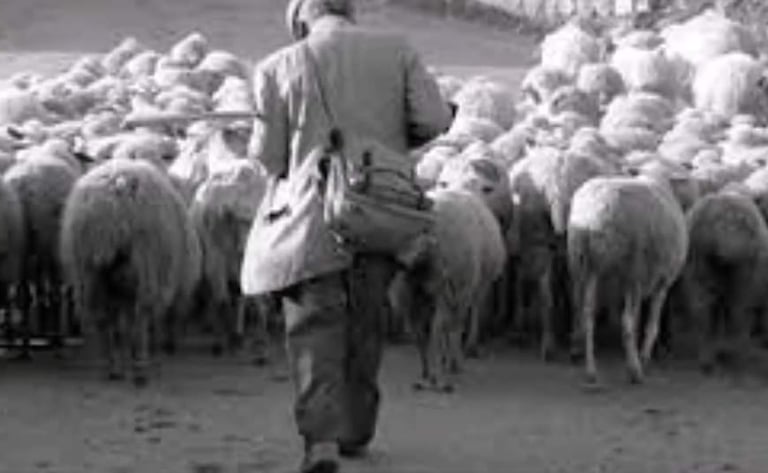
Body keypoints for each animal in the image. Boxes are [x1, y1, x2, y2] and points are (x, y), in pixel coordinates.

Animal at [60, 158, 196, 386]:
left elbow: (118, 328)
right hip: (143, 267)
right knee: (139, 319)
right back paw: (140, 368)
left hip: (89, 273)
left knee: (104, 320)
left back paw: (112, 367)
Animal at [567, 175, 689, 386]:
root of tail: (592, 217)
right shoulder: (661, 282)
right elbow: (651, 326)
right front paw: (644, 357)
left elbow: (641, 320)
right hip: (631, 270)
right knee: (626, 323)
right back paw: (635, 370)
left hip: (586, 267)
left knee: (586, 314)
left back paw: (591, 370)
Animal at [681, 187, 768, 373]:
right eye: (719, 224)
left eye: (744, 226)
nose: (734, 249)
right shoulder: (700, 281)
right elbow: (705, 318)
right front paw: (706, 361)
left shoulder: (743, 288)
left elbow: (737, 317)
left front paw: (735, 356)